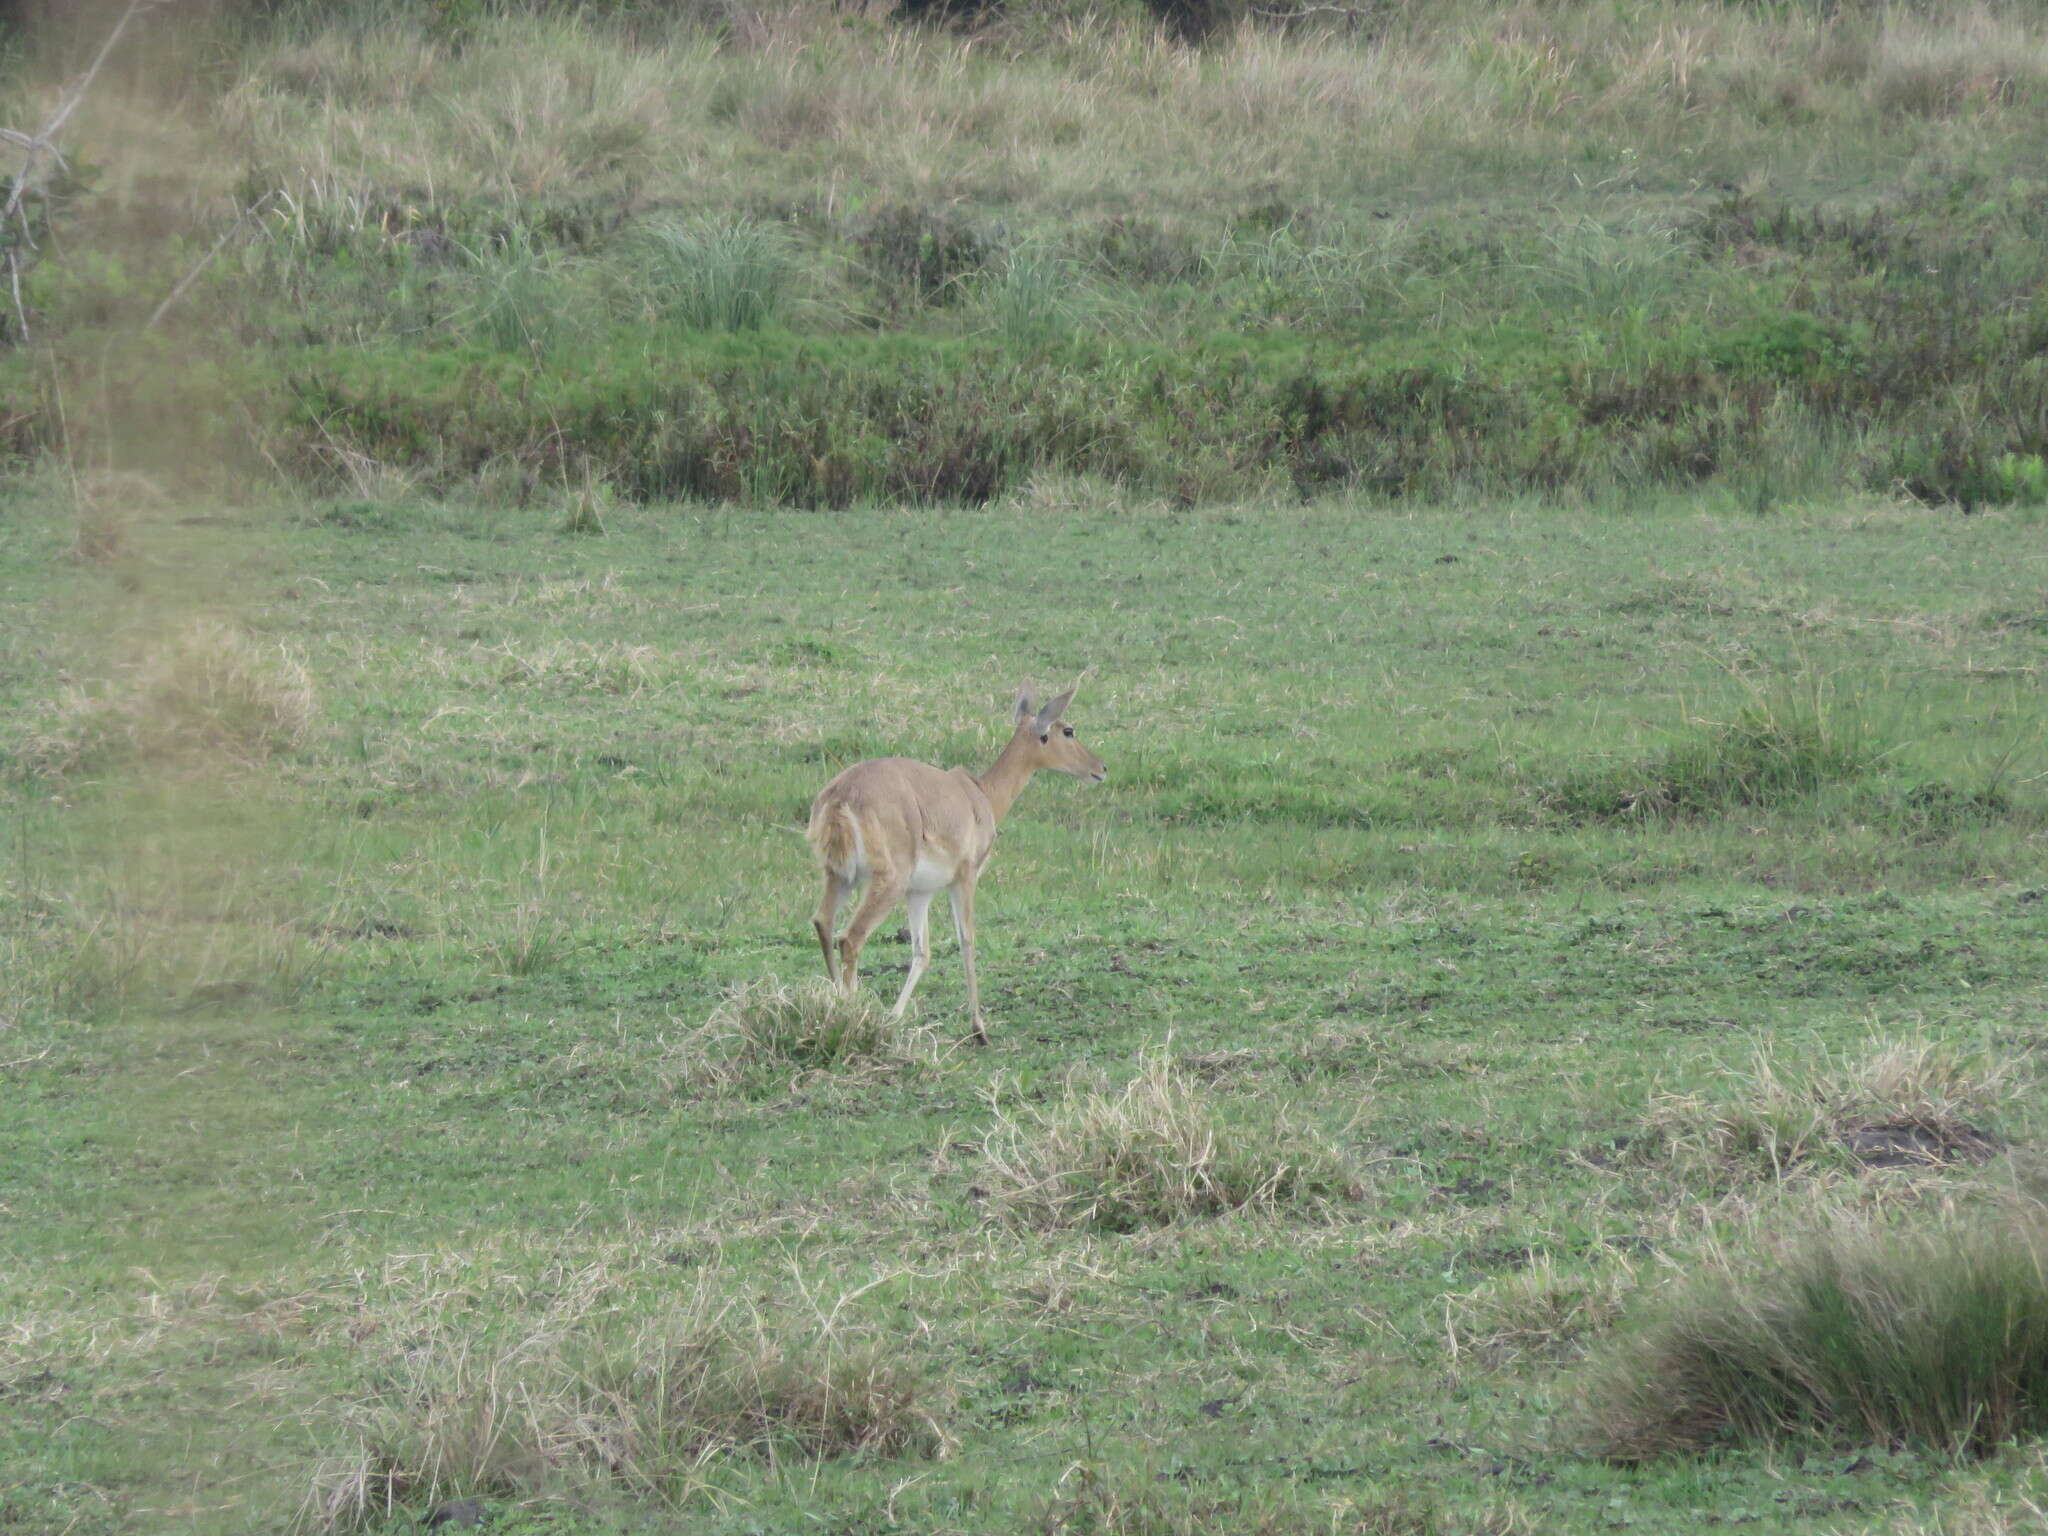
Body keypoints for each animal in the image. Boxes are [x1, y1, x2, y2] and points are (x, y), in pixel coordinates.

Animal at [806, 688, 1114, 1040]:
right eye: (1068, 730)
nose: (1101, 767)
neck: (980, 795)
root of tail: (841, 796)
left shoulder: (920, 892)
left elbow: (922, 952)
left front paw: (894, 1017)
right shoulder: (966, 877)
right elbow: (967, 939)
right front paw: (978, 1028)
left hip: (840, 876)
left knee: (823, 922)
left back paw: (837, 1004)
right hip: (886, 882)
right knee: (850, 936)